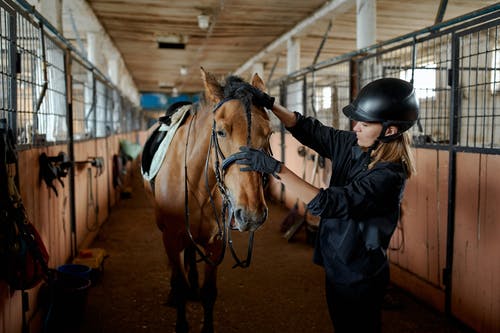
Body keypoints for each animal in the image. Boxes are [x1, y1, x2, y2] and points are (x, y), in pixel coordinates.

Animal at [142, 68, 274, 332]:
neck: (197, 183)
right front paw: (181, 318)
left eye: (269, 133)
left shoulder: (215, 243)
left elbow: (209, 292)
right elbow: (179, 284)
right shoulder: (170, 237)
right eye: (221, 131)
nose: (252, 214)